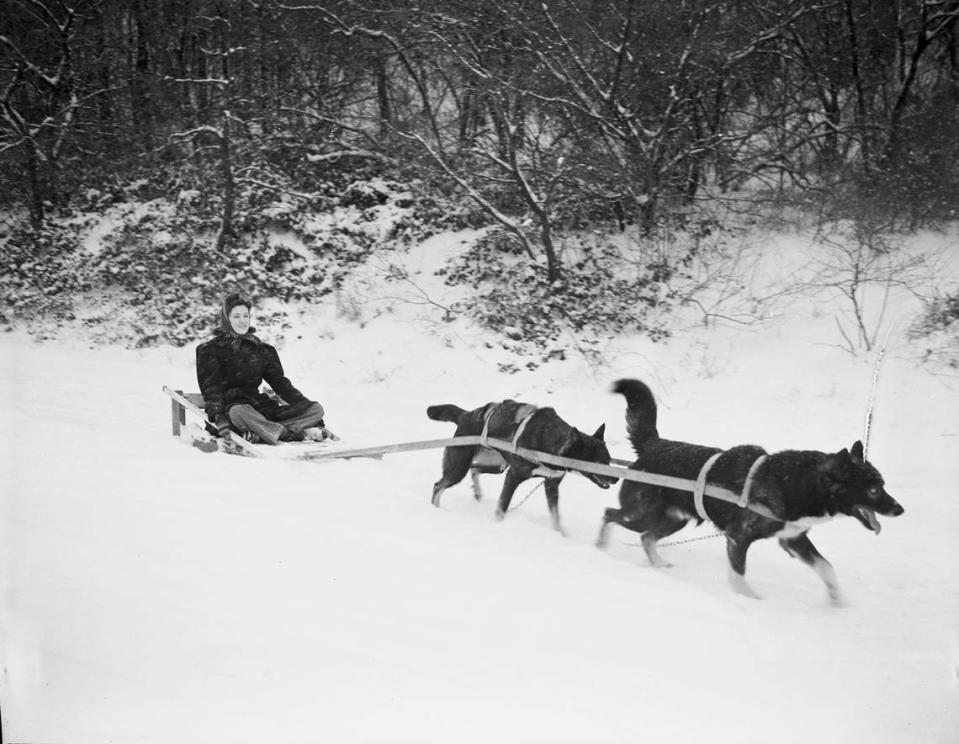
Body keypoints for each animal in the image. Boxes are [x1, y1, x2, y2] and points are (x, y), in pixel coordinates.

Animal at [428, 402, 616, 536]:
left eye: (608, 460)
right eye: (598, 462)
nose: (616, 478)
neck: (549, 442)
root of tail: (467, 414)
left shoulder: (551, 485)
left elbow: (555, 517)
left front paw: (561, 535)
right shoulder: (513, 476)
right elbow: (501, 508)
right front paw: (497, 525)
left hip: (498, 465)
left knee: (474, 469)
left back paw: (477, 493)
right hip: (459, 468)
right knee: (438, 486)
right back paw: (435, 509)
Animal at [596, 380, 904, 600]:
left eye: (882, 485)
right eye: (873, 490)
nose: (900, 509)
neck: (796, 483)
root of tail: (655, 445)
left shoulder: (792, 539)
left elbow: (826, 568)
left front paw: (838, 599)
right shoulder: (738, 536)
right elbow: (739, 576)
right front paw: (748, 600)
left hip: (674, 520)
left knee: (647, 537)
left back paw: (658, 564)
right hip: (641, 514)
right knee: (611, 514)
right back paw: (599, 548)